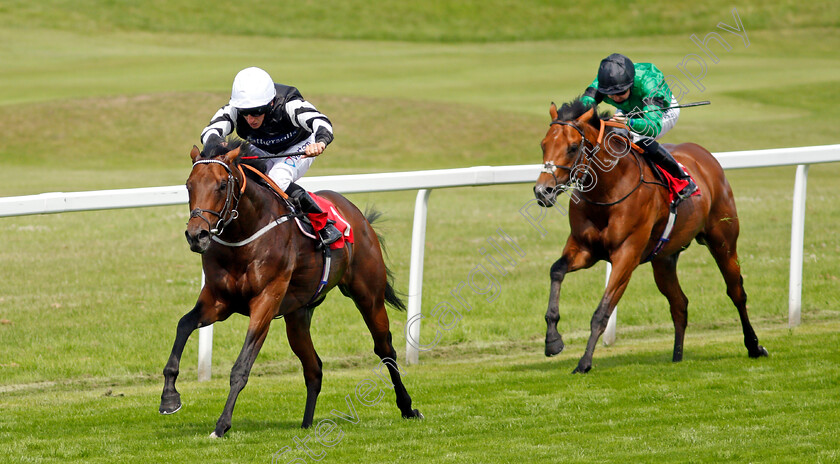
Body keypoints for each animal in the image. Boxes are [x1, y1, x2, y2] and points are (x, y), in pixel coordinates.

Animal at [159, 140, 420, 436]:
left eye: (222, 185)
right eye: (189, 185)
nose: (197, 235)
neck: (244, 237)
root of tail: (357, 215)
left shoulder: (265, 301)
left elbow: (241, 366)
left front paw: (221, 425)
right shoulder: (218, 301)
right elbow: (183, 325)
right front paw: (169, 398)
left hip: (369, 296)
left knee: (385, 349)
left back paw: (407, 407)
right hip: (297, 316)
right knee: (314, 367)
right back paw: (307, 424)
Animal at [536, 98, 764, 374]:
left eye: (572, 147)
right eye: (543, 145)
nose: (542, 191)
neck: (608, 190)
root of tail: (705, 156)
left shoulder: (626, 255)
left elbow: (602, 312)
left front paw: (584, 363)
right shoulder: (584, 249)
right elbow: (556, 271)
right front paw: (552, 341)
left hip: (723, 241)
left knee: (736, 291)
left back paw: (754, 346)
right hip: (663, 259)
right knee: (679, 304)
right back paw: (677, 356)